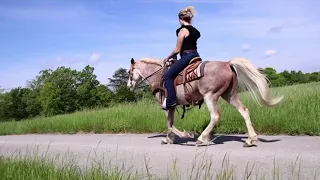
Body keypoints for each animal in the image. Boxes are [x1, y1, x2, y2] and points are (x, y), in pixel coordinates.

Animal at [126, 56, 284, 148]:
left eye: (129, 72)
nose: (128, 86)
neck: (159, 76)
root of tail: (227, 64)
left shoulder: (167, 105)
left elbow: (170, 124)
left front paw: (184, 135)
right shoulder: (171, 107)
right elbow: (170, 124)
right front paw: (169, 139)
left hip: (210, 96)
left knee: (215, 116)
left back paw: (202, 138)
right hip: (230, 95)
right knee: (244, 111)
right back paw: (251, 140)